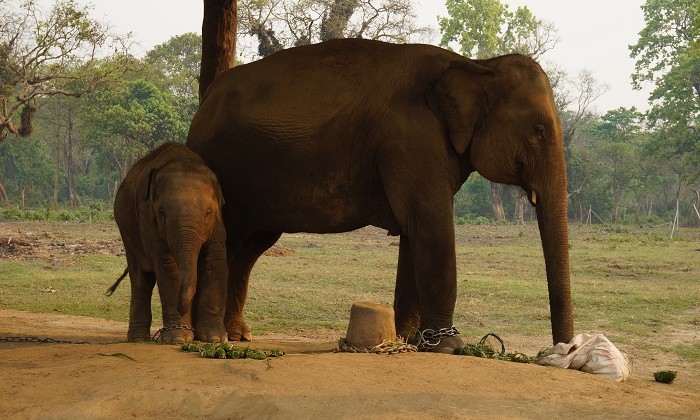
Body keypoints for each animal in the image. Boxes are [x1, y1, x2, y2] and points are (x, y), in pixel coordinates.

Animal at [111, 143, 227, 342]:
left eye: (208, 212)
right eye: (162, 213)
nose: (183, 307)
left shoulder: (218, 225)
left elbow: (215, 262)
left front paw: (215, 339)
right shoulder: (149, 223)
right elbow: (168, 267)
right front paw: (178, 338)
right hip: (127, 232)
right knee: (141, 280)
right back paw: (139, 338)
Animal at [186, 39, 576, 350]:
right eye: (539, 131)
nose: (561, 351)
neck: (478, 63)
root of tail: (203, 104)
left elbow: (415, 232)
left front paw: (410, 340)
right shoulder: (411, 141)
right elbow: (431, 226)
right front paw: (449, 346)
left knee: (252, 245)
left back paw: (237, 335)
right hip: (227, 165)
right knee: (231, 240)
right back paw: (206, 335)